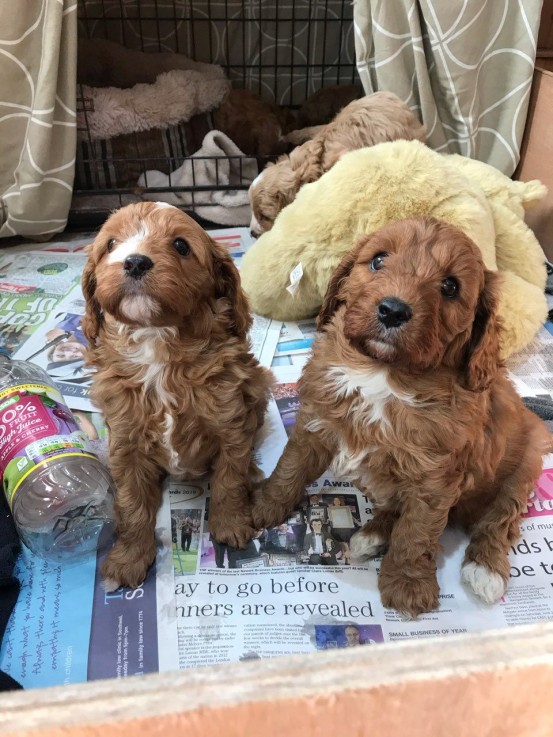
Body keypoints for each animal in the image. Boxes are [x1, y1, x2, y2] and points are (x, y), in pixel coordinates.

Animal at [82, 203, 272, 592]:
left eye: (181, 246)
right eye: (111, 244)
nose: (135, 262)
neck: (158, 346)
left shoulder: (231, 423)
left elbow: (229, 478)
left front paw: (231, 524)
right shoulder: (124, 442)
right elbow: (131, 502)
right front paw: (129, 558)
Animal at [252, 217, 548, 616]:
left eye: (450, 287)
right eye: (378, 260)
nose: (393, 310)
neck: (382, 375)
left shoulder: (434, 478)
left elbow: (417, 530)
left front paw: (408, 582)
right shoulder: (315, 423)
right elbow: (289, 469)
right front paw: (260, 507)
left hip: (523, 468)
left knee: (499, 521)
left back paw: (485, 568)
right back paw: (372, 535)